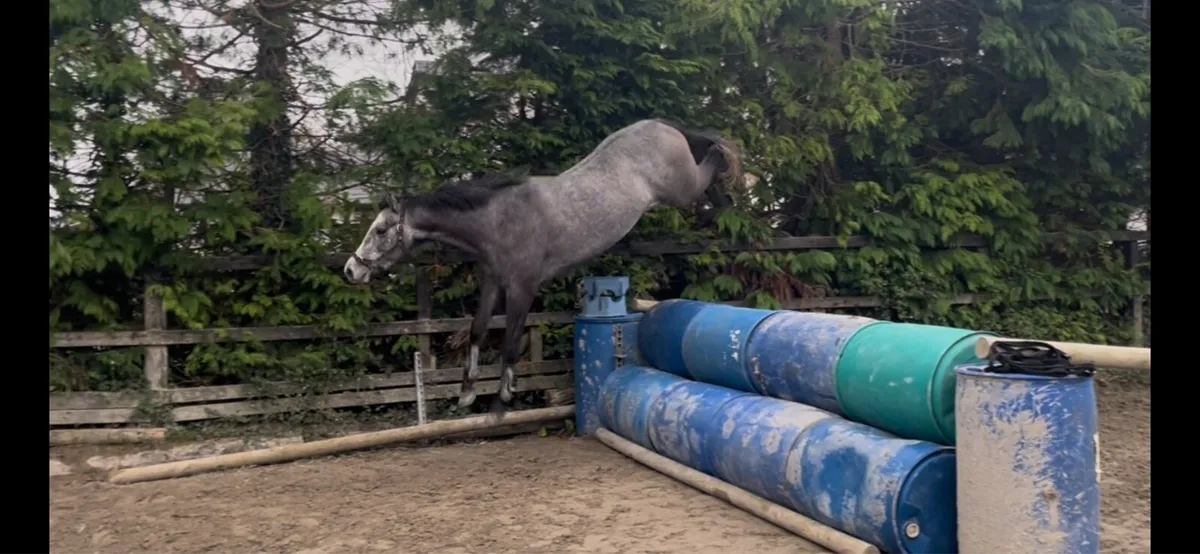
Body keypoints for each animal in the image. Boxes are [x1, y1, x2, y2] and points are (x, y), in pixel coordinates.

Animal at [343, 118, 743, 414]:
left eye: (380, 230)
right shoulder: (493, 283)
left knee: (712, 159)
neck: (496, 220)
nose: (351, 270)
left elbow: (510, 341)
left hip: (681, 189)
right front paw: (467, 392)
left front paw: (503, 397)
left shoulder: (522, 287)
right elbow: (477, 330)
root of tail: (662, 125)